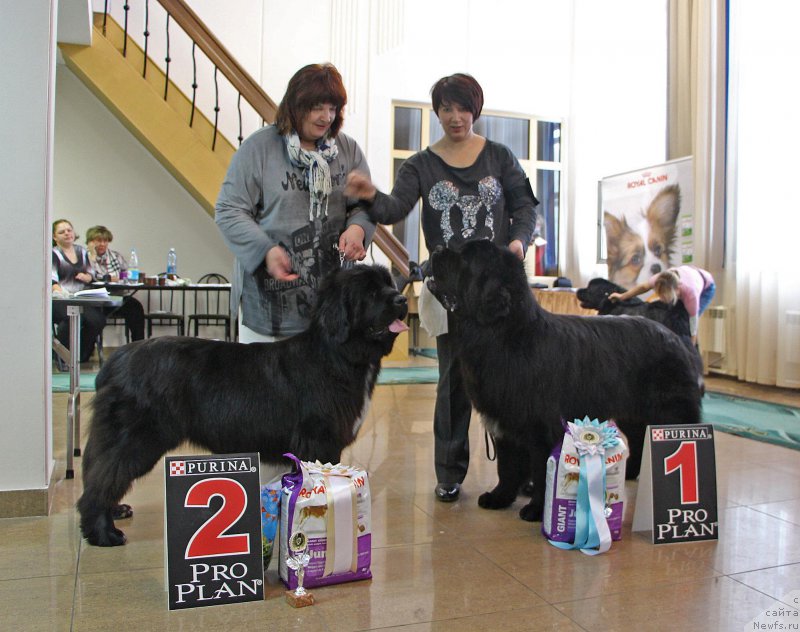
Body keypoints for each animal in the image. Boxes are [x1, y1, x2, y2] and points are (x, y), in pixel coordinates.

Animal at [78, 264, 410, 544]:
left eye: (389, 283)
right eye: (370, 292)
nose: (403, 300)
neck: (336, 354)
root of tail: (116, 360)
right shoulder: (318, 439)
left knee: (100, 471)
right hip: (138, 438)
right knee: (102, 480)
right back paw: (103, 533)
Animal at [424, 239, 700, 520]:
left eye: (465, 258)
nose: (437, 250)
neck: (505, 334)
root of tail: (673, 335)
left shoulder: (540, 427)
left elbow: (541, 469)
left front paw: (536, 509)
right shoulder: (504, 421)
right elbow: (507, 466)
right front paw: (499, 497)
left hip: (670, 411)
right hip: (631, 412)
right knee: (637, 438)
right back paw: (632, 473)